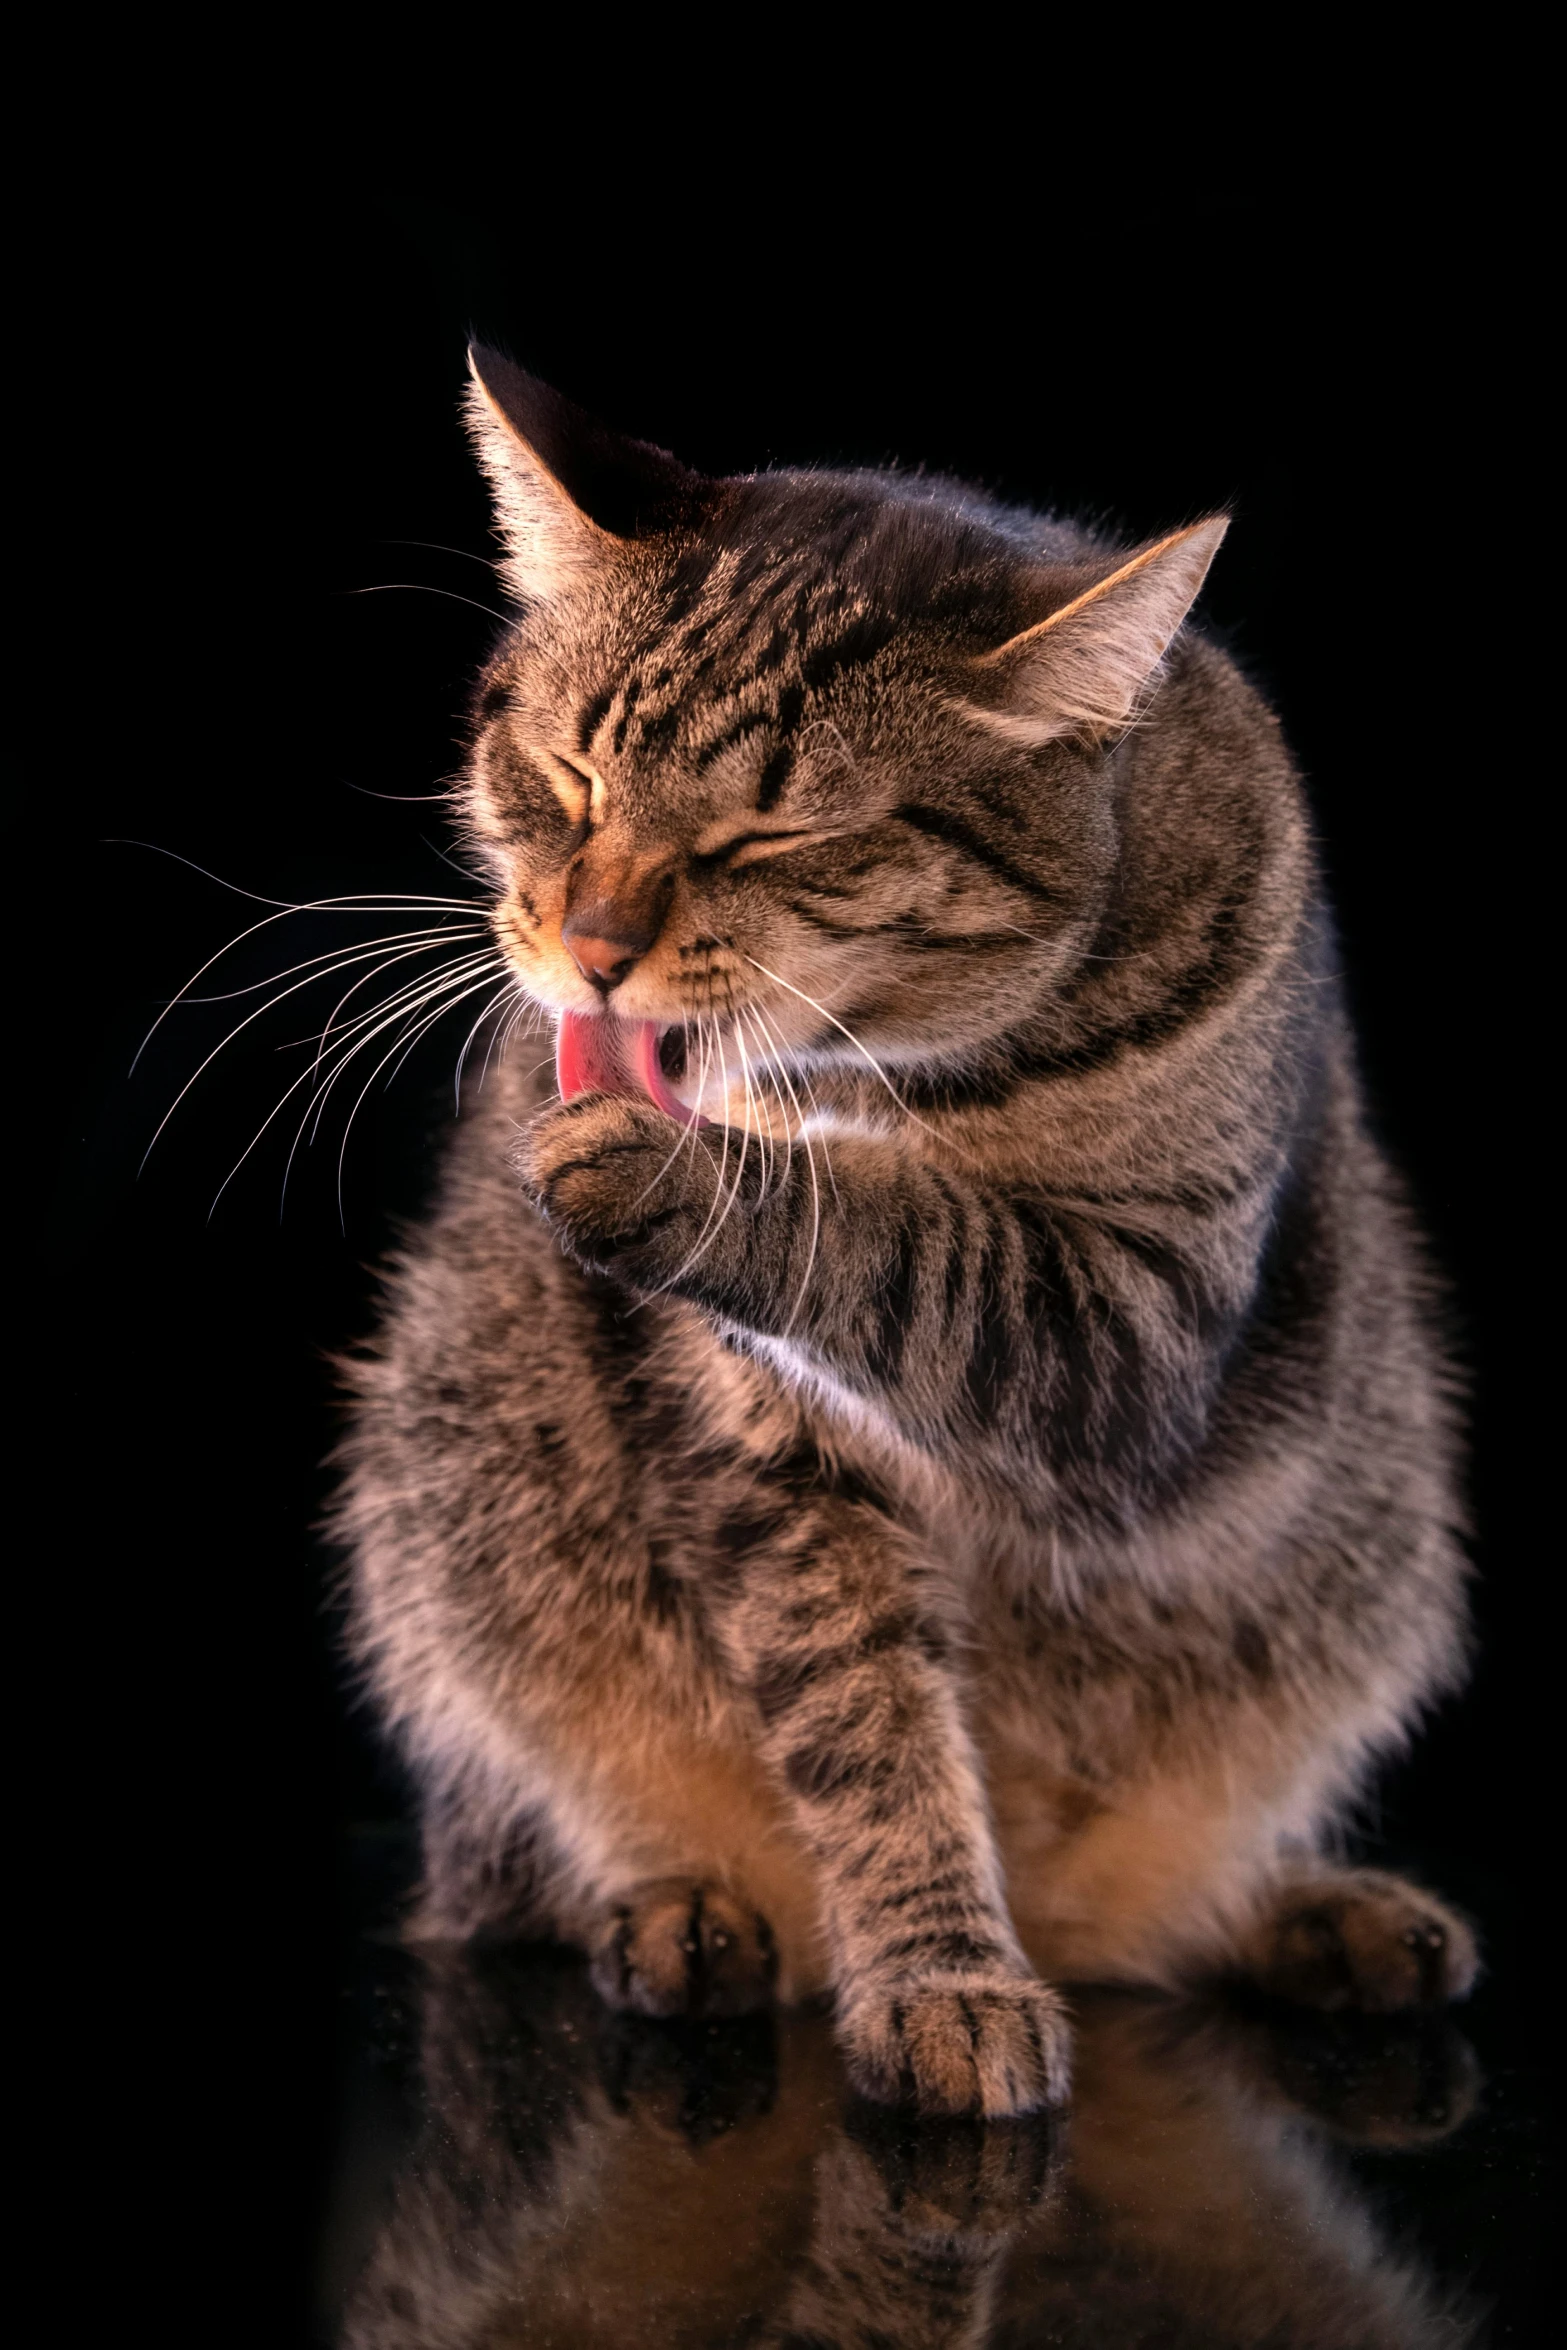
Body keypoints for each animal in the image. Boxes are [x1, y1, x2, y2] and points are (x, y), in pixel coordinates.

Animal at [338, 343, 1475, 2115]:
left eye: (769, 835)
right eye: (573, 775)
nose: (589, 947)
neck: (909, 1083)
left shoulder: (1138, 1331)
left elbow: (909, 1244)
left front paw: (685, 1173)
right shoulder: (761, 1451)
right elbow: (865, 1716)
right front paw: (938, 1967)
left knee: (1171, 1908)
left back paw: (1319, 1916)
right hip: (448, 1534)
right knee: (518, 1854)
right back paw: (677, 1916)